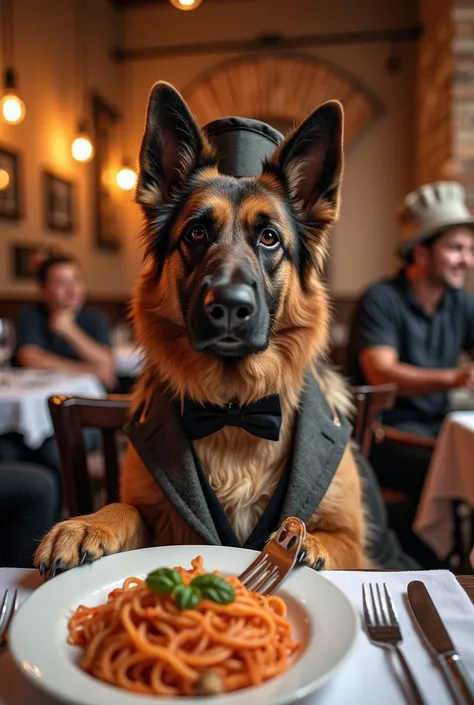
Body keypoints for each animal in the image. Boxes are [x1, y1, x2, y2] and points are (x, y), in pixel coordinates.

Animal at [35, 81, 372, 572]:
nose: (229, 306)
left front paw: (305, 544)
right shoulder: (153, 515)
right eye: (196, 233)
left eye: (269, 237)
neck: (233, 409)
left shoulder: (356, 541)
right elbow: (124, 507)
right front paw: (87, 523)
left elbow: (328, 540)